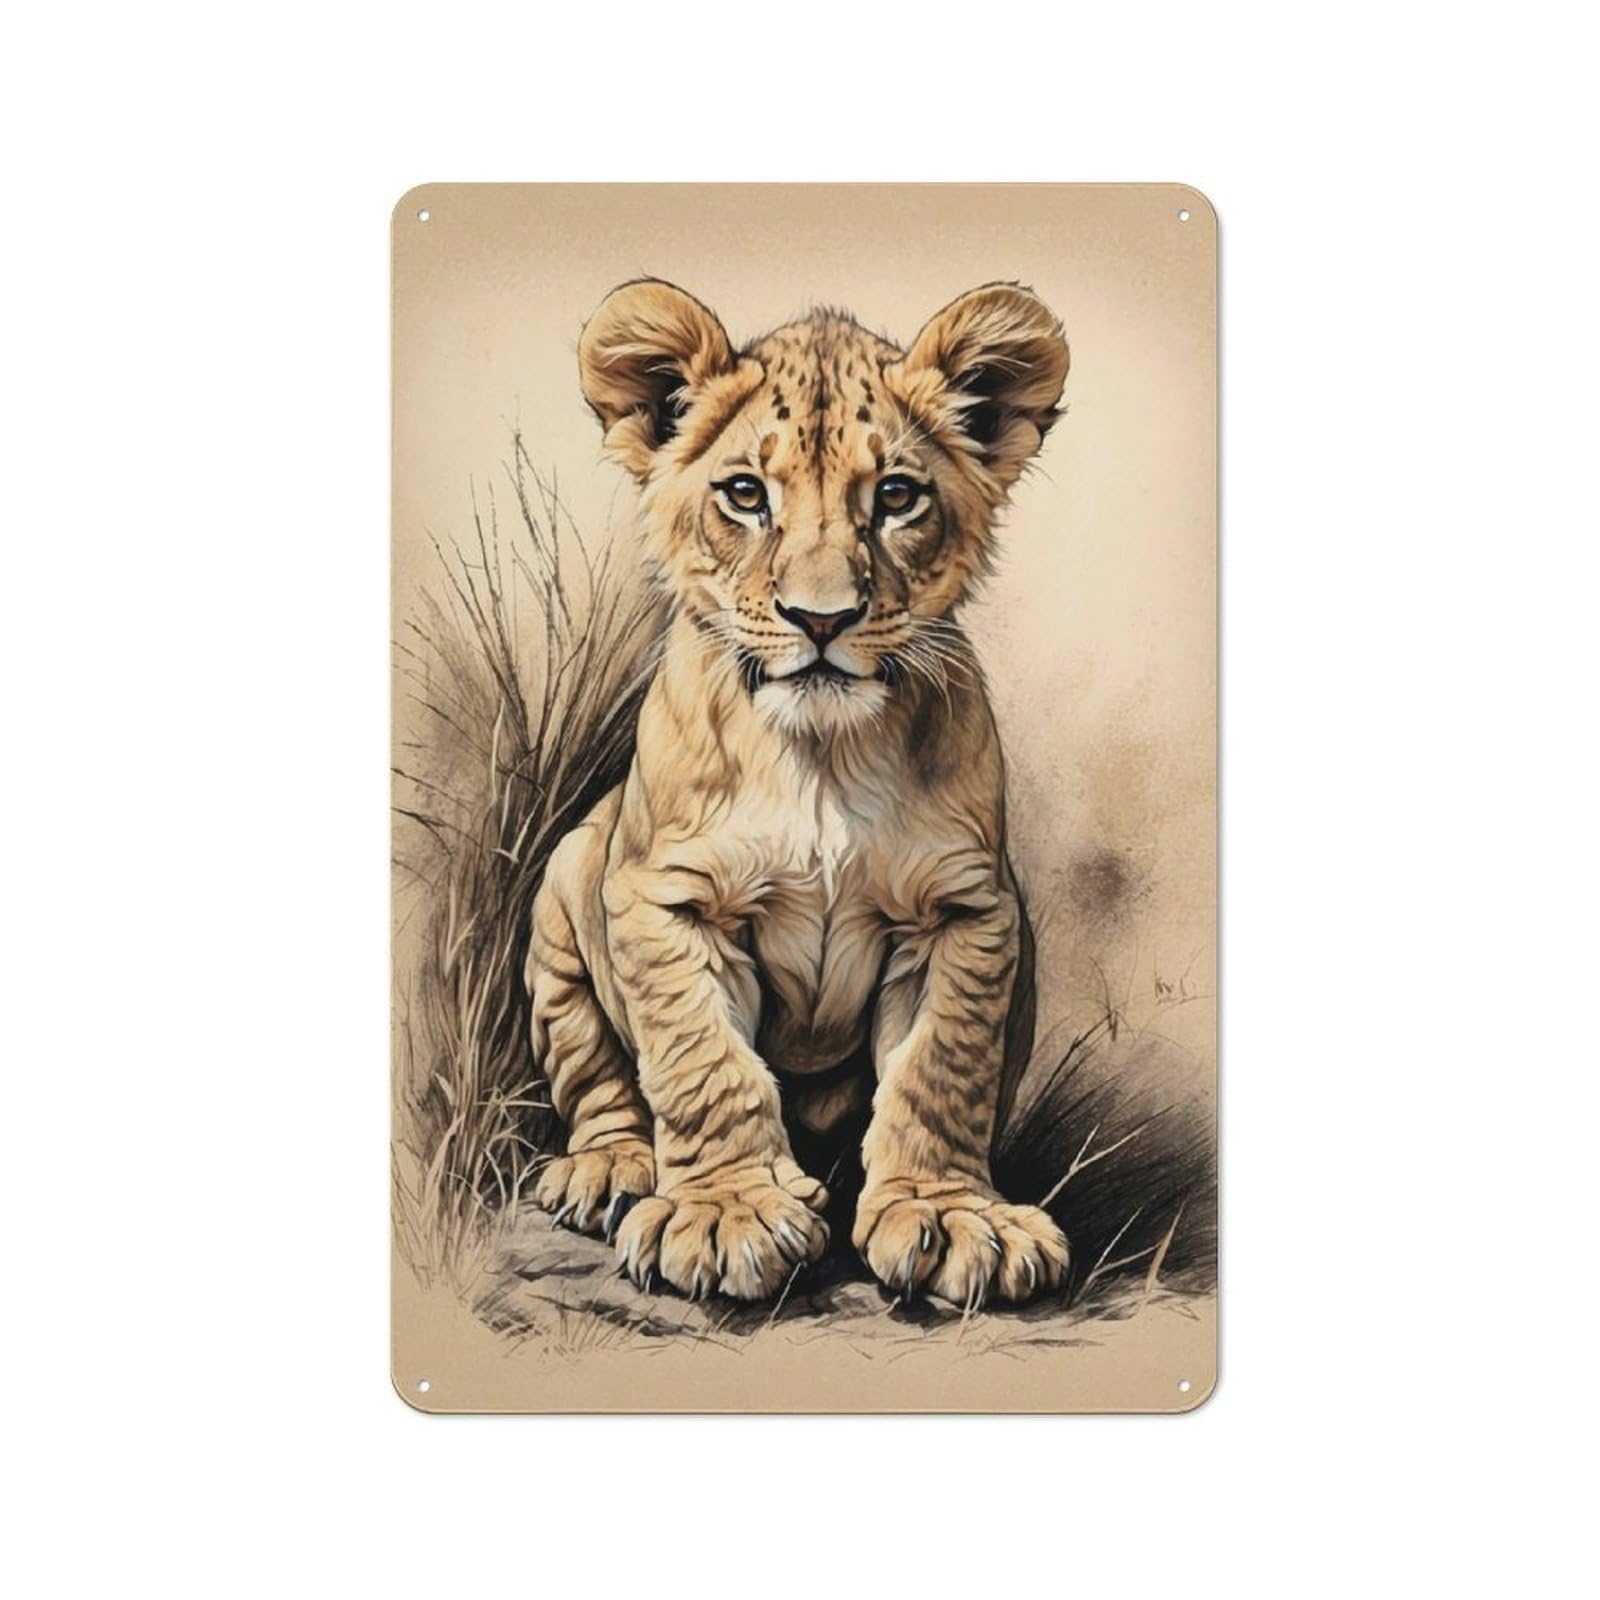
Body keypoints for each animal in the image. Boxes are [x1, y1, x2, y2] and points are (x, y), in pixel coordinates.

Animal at [524, 278, 1072, 1307]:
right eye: (746, 494)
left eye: (896, 495)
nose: (822, 620)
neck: (820, 757)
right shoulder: (664, 898)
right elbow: (702, 1064)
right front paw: (724, 1212)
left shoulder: (966, 910)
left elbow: (942, 1069)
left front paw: (949, 1215)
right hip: (565, 891)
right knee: (597, 1078)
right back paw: (608, 1170)